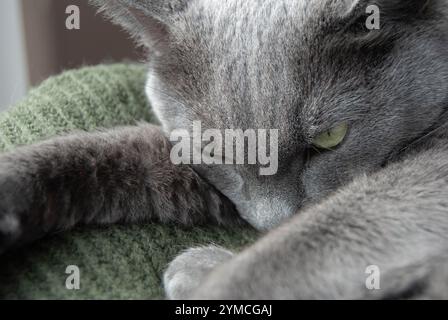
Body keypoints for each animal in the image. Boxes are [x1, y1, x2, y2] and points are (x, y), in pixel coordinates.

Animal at [0, 0, 448, 300]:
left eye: (330, 138)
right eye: (213, 149)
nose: (271, 224)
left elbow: (307, 240)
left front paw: (211, 274)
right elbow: (123, 151)